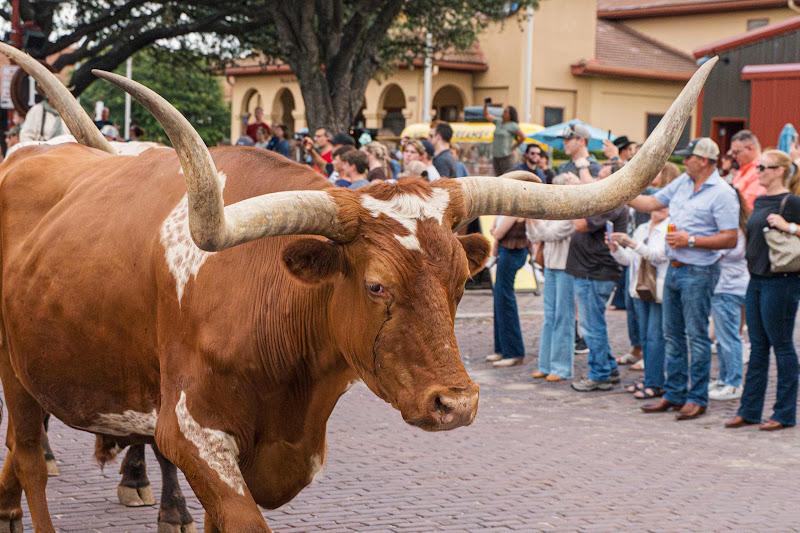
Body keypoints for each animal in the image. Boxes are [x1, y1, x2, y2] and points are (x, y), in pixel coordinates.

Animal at [0, 43, 715, 533]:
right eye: (375, 286)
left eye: (462, 283)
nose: (456, 404)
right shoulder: (194, 432)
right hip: (17, 367)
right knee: (29, 453)